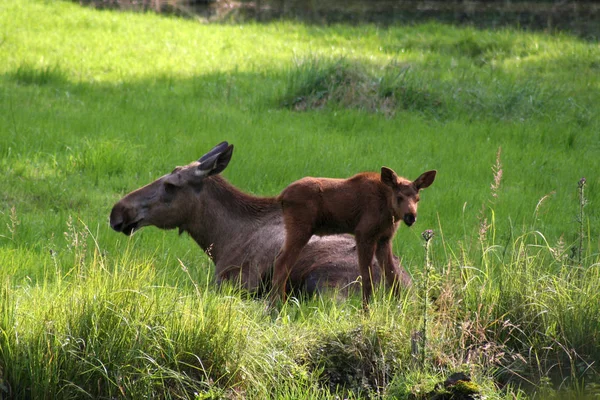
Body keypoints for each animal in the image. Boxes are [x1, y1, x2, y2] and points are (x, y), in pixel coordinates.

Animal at [110, 142, 412, 296]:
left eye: (170, 185)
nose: (117, 212)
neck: (219, 239)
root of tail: (411, 292)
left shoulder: (237, 281)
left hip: (323, 282)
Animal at [274, 167, 436, 308]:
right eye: (399, 197)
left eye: (417, 199)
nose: (411, 217)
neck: (388, 211)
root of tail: (282, 196)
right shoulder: (364, 233)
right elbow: (367, 278)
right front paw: (366, 312)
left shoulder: (384, 239)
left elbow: (392, 276)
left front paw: (399, 310)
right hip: (300, 228)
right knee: (282, 263)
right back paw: (278, 306)